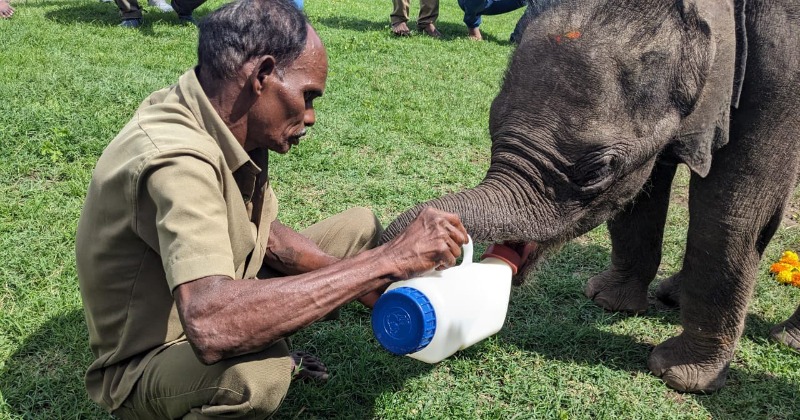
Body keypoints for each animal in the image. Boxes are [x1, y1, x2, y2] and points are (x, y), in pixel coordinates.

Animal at [382, 0, 800, 394]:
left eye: (597, 171)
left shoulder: (779, 71)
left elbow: (732, 211)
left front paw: (678, 377)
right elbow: (642, 193)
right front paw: (606, 301)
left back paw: (785, 339)